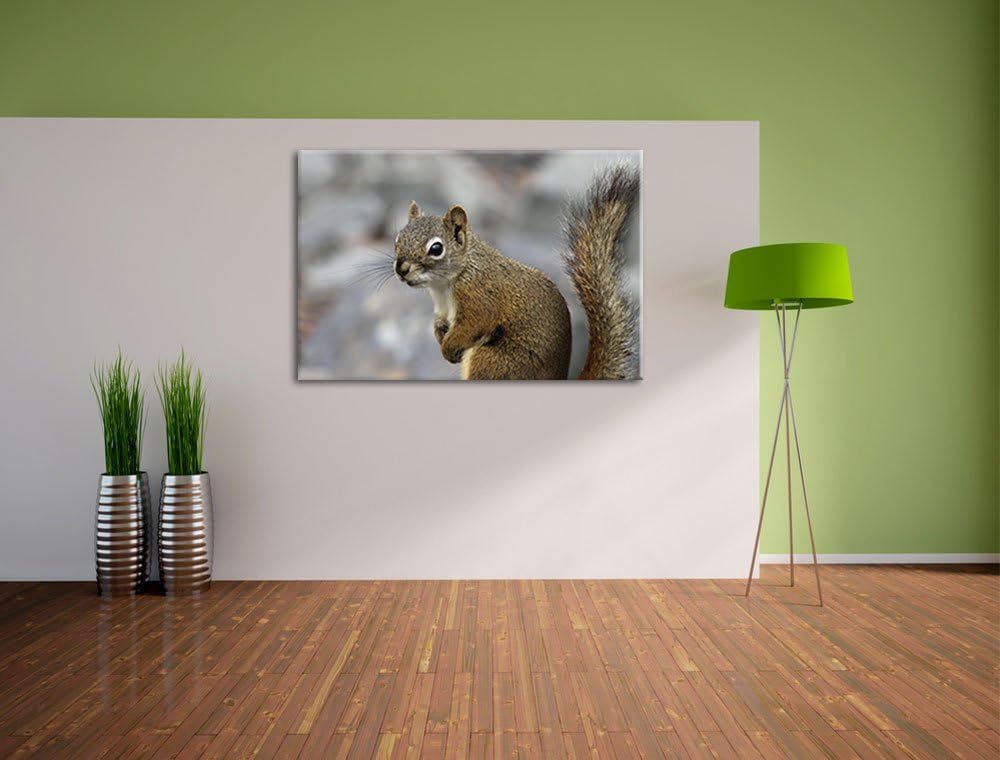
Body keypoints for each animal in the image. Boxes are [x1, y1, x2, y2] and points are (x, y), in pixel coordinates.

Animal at [393, 164, 640, 380]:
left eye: (436, 249)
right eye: (397, 239)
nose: (401, 269)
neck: (445, 284)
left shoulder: (480, 296)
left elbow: (474, 324)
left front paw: (449, 348)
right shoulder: (442, 307)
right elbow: (440, 323)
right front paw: (440, 334)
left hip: (494, 362)